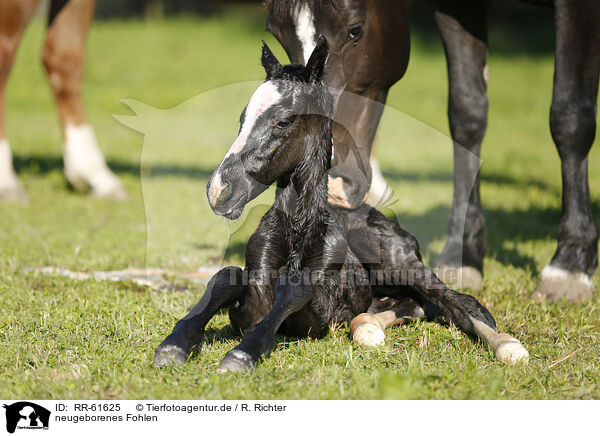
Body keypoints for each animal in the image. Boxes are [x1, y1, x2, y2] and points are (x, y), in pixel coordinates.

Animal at [152, 39, 528, 372]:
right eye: (242, 119)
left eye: (283, 121)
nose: (219, 190)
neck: (299, 228)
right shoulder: (251, 292)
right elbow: (225, 278)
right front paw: (173, 345)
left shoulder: (317, 311)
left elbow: (293, 288)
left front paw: (241, 355)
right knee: (413, 304)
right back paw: (367, 327)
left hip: (396, 261)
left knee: (458, 303)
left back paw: (507, 346)